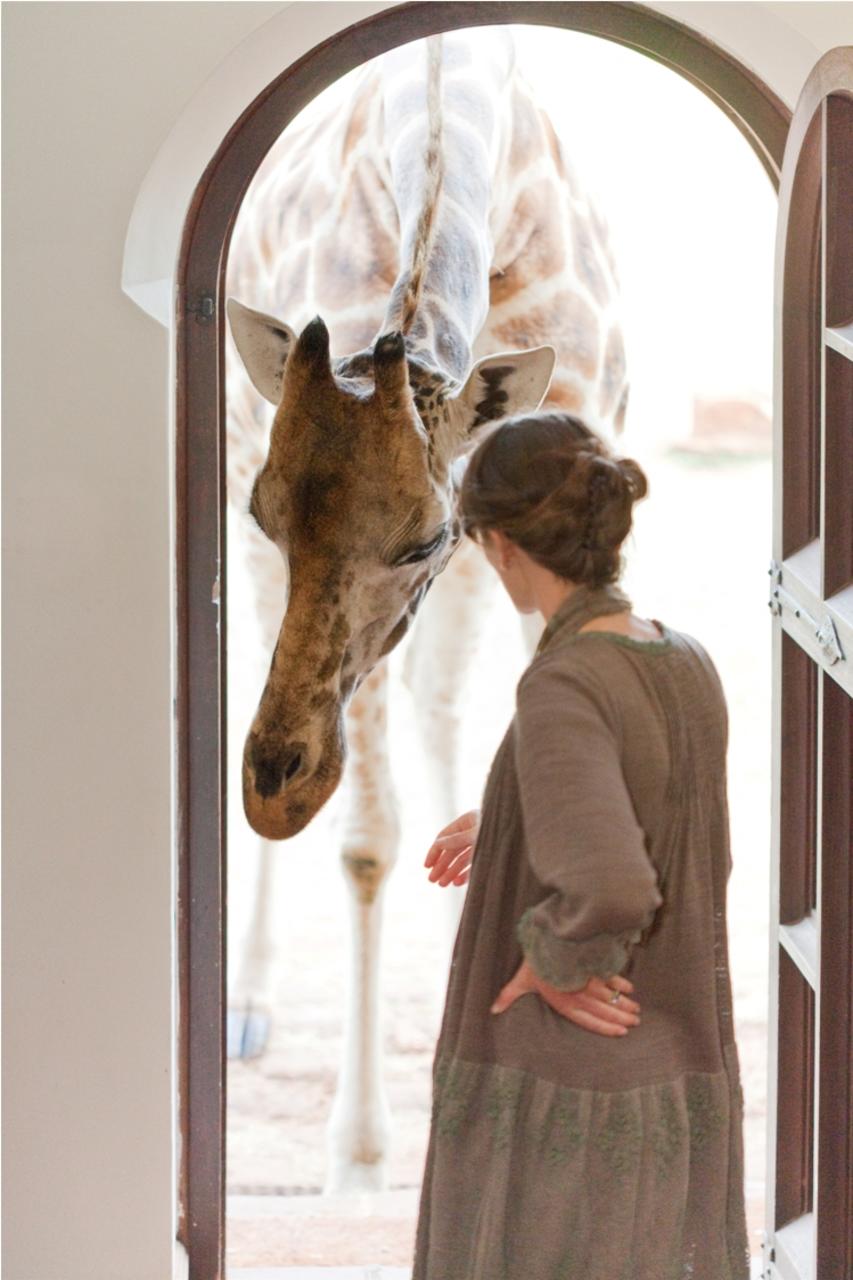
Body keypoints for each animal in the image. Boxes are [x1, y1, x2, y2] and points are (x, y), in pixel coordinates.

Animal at [225, 28, 627, 1190]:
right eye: (267, 513)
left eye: (418, 539)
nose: (275, 789)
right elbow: (365, 841)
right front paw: (361, 1152)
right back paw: (249, 999)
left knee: (446, 701)